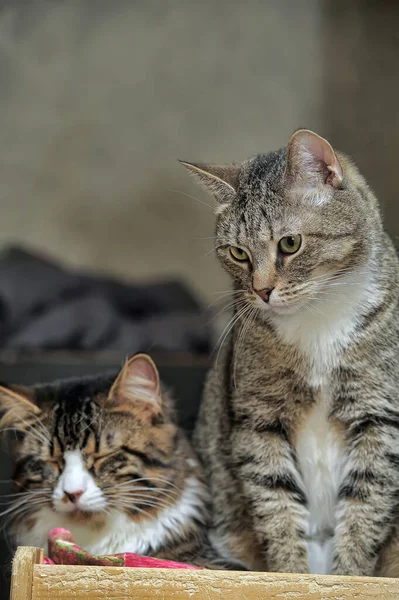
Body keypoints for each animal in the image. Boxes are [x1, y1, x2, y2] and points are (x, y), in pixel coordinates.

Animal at [183, 129, 399, 576]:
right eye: (238, 253)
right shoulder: (259, 419)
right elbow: (277, 506)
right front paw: (293, 576)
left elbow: (365, 505)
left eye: (290, 243)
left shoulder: (378, 415)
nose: (262, 291)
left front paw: (348, 578)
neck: (317, 319)